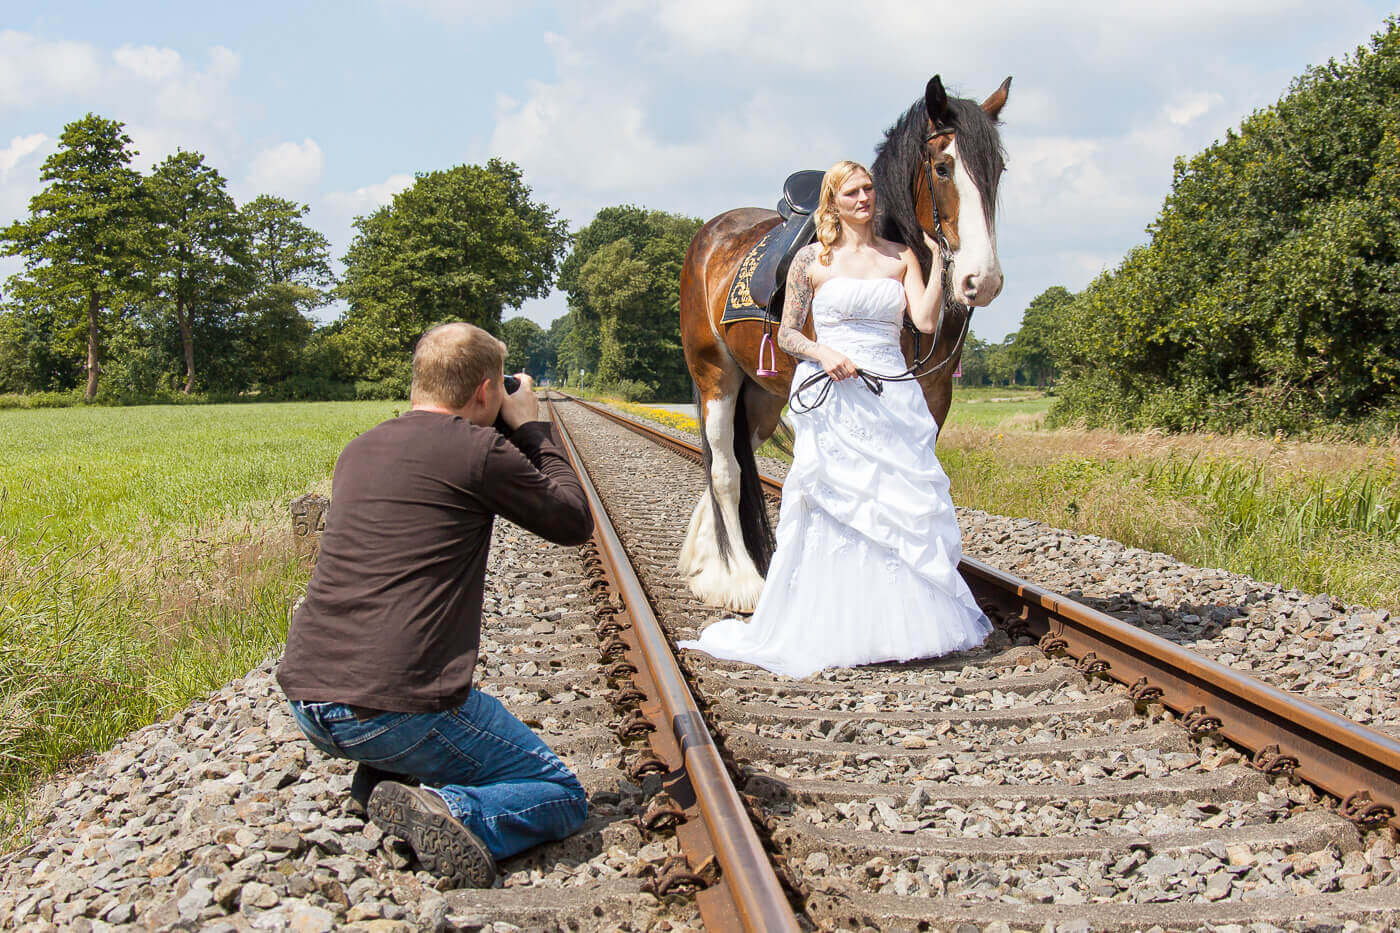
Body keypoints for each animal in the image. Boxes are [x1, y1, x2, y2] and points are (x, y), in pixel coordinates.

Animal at [674, 74, 1008, 610]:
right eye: (942, 167)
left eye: (997, 170)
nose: (984, 279)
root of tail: (709, 236)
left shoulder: (934, 396)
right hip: (716, 376)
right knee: (724, 469)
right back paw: (740, 580)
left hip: (762, 396)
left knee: (735, 463)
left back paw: (704, 563)